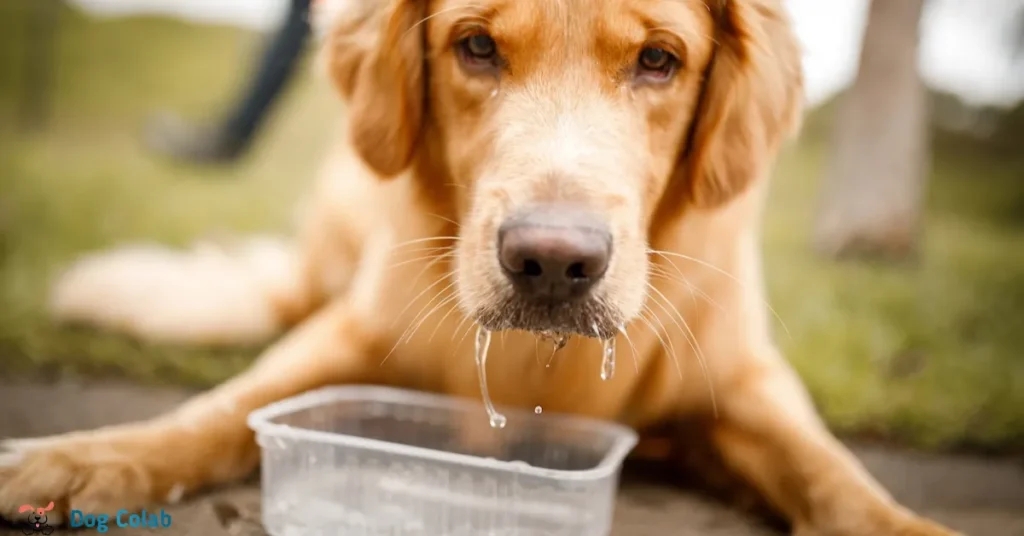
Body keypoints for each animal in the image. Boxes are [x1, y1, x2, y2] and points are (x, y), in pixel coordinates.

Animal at [2, 0, 958, 532]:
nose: (552, 264)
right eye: (477, 47)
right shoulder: (351, 329)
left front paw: (907, 525)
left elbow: (834, 472)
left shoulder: (749, 379)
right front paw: (77, 459)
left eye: (659, 59)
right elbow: (221, 410)